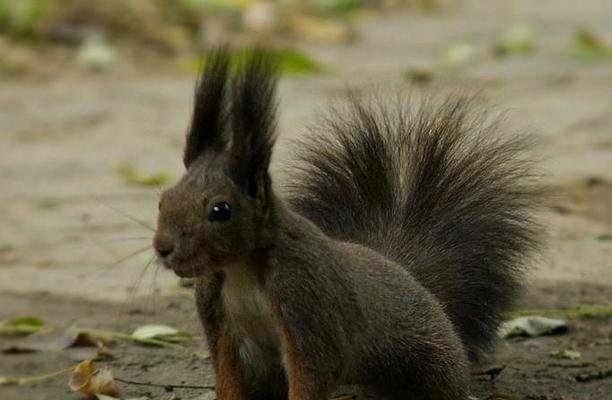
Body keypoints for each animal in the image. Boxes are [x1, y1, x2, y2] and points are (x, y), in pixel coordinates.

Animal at [153, 49, 540, 400]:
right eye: (163, 198)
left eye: (221, 210)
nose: (163, 247)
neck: (242, 271)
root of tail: (416, 282)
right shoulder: (222, 325)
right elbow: (230, 378)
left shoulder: (308, 307)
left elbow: (311, 375)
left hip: (430, 361)